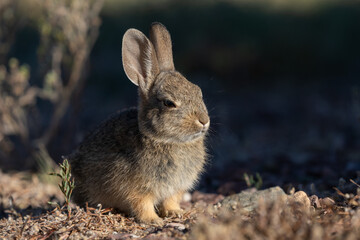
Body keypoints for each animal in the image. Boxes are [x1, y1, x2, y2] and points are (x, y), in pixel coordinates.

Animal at [68, 22, 208, 225]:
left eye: (198, 92)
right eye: (169, 103)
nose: (204, 121)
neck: (164, 140)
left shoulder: (174, 189)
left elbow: (170, 201)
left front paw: (176, 212)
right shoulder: (135, 189)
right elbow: (141, 204)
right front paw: (154, 220)